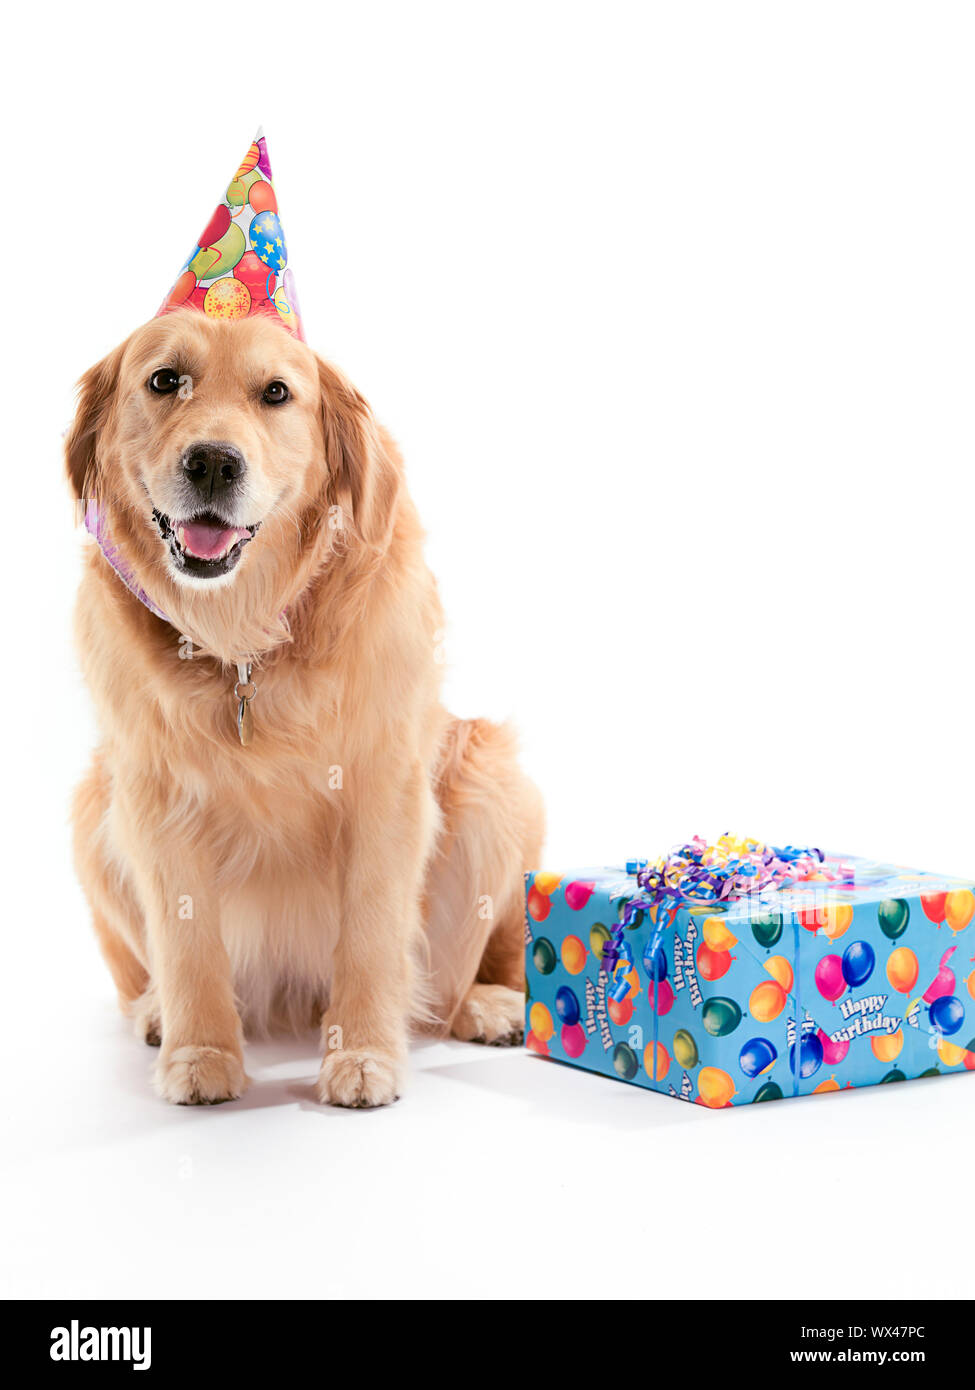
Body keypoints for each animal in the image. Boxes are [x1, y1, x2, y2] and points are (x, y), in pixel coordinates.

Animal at [65, 312, 545, 1106]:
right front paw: (201, 1050)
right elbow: (187, 942)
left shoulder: (387, 786)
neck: (244, 646)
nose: (213, 463)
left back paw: (487, 1005)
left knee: (463, 973)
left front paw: (365, 1055)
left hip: (496, 780)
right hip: (92, 809)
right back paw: (158, 1014)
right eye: (164, 380)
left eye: (276, 393)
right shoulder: (153, 796)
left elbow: (373, 936)